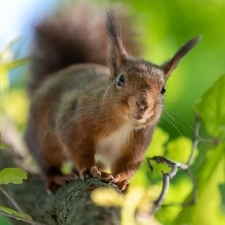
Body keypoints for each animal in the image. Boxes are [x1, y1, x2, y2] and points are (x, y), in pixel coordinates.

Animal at [24, 2, 200, 193]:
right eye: (121, 80)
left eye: (163, 89)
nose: (142, 104)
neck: (124, 123)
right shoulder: (75, 120)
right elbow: (77, 146)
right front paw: (89, 168)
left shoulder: (137, 144)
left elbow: (127, 164)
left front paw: (122, 179)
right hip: (43, 137)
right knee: (46, 160)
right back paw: (56, 176)